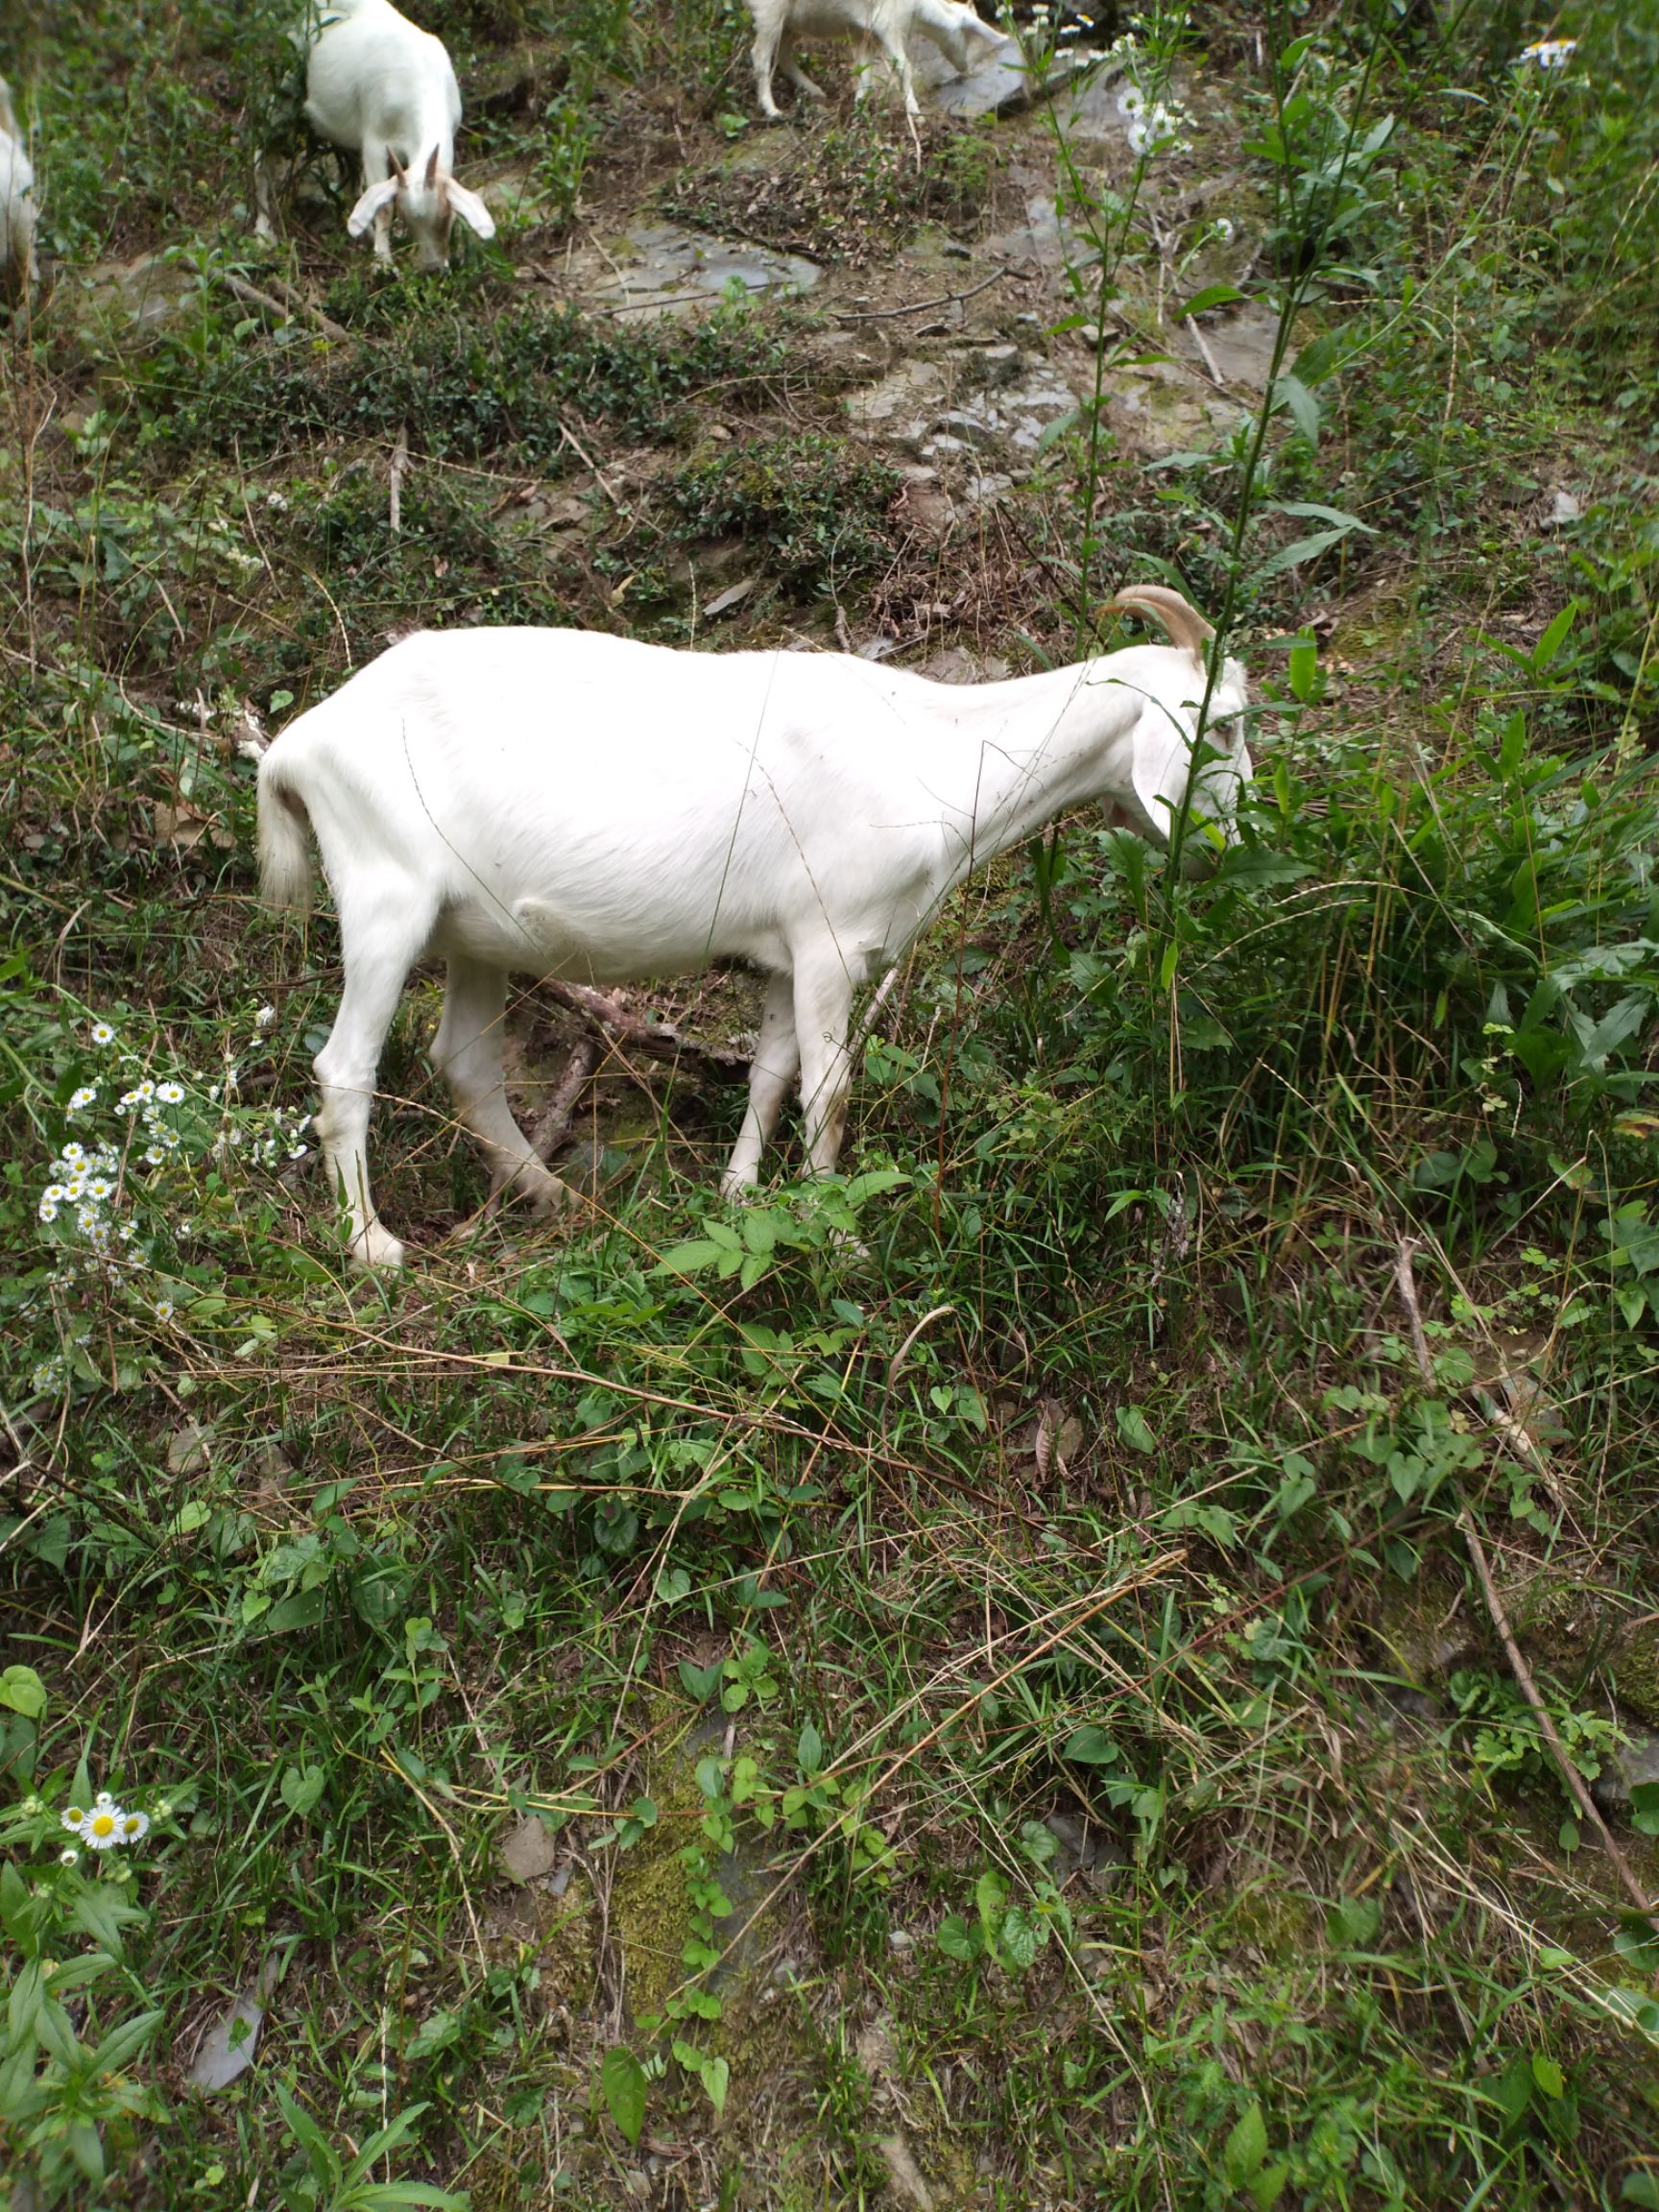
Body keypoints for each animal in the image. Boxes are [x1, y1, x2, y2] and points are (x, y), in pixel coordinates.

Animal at [256, 588, 1247, 1274]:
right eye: (1228, 725)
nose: (1228, 852)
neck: (927, 749)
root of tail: (294, 746)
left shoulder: (785, 955)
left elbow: (772, 1076)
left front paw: (739, 1197)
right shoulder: (832, 941)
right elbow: (830, 1091)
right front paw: (840, 1236)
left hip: (474, 934)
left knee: (464, 1061)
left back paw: (546, 1191)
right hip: (386, 895)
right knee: (345, 1068)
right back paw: (372, 1246)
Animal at [296, 0, 493, 272]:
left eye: (447, 215)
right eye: (408, 219)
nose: (434, 268)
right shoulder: (374, 142)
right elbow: (383, 207)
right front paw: (384, 264)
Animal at [752, 0, 999, 121]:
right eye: (969, 35)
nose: (966, 68)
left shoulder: (864, 33)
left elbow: (864, 71)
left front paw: (860, 107)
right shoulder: (889, 25)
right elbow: (904, 68)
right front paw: (915, 114)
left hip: (790, 22)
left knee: (783, 55)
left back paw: (815, 91)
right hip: (769, 13)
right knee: (760, 56)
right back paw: (772, 111)